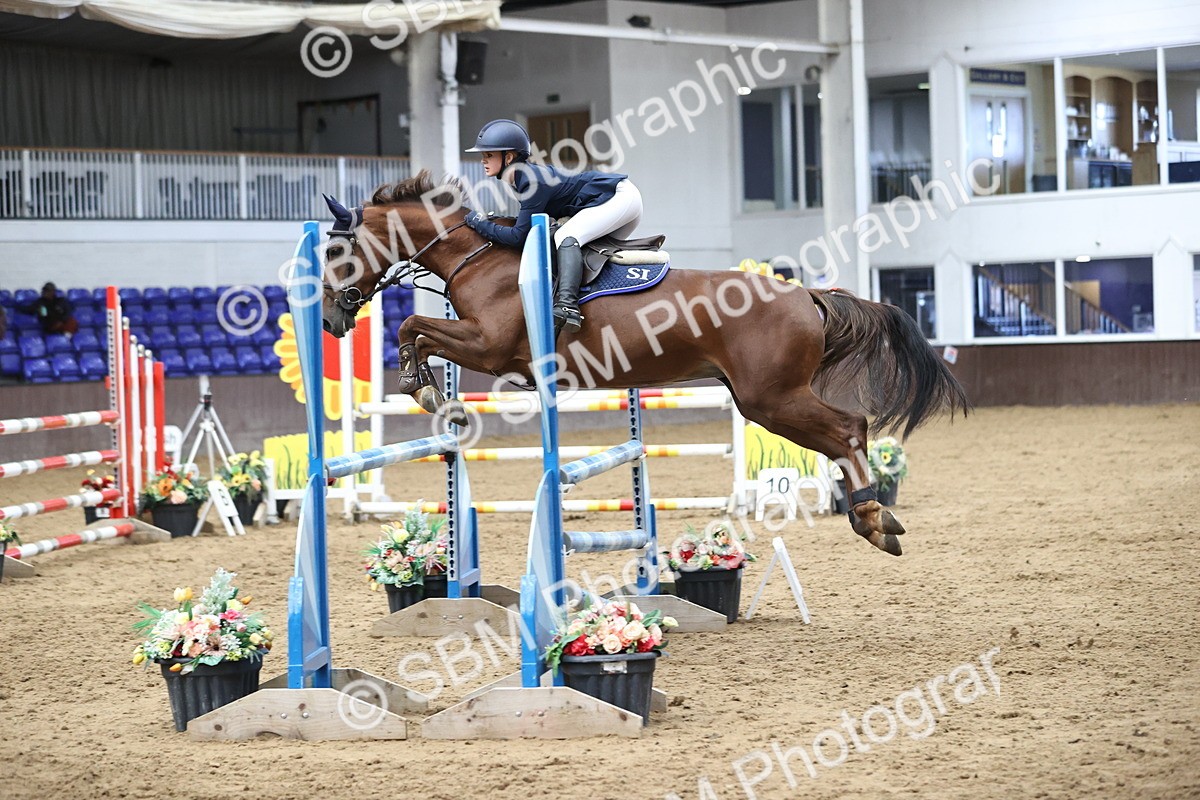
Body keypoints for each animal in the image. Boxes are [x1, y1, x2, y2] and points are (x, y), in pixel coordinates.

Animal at [318, 171, 969, 557]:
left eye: (336, 249)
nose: (329, 319)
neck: (476, 257)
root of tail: (804, 294)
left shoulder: (488, 346)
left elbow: (414, 328)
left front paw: (420, 385)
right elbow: (419, 331)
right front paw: (429, 389)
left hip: (771, 398)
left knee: (849, 428)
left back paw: (874, 518)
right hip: (764, 397)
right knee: (844, 433)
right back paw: (873, 517)